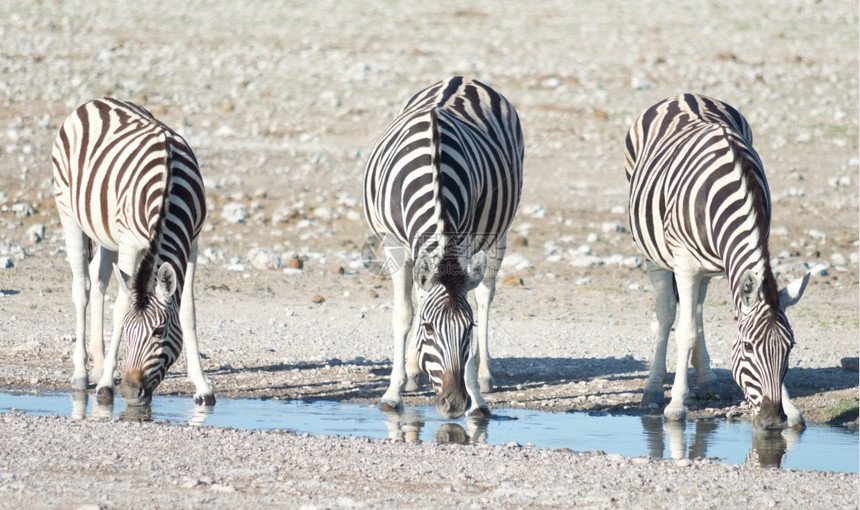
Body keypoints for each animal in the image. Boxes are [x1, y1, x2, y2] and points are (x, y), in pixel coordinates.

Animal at [52, 98, 215, 406]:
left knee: (99, 280)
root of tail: (93, 101)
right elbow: (121, 307)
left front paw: (202, 387)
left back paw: (100, 365)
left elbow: (188, 311)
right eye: (127, 331)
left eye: (159, 331)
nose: (129, 391)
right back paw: (82, 374)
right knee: (82, 287)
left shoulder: (192, 245)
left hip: (107, 235)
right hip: (68, 213)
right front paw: (106, 386)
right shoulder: (129, 242)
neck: (169, 187)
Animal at [362, 76, 524, 418]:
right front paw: (393, 392)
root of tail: (464, 78)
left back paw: (485, 374)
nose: (454, 404)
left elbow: (472, 306)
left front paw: (477, 399)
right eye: (429, 329)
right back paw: (412, 372)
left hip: (498, 233)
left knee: (485, 296)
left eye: (467, 329)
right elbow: (404, 313)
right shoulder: (395, 245)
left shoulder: (465, 240)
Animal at [620, 93, 808, 428]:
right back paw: (654, 387)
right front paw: (676, 405)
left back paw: (705, 377)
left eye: (790, 346)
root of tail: (684, 94)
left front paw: (792, 409)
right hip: (654, 253)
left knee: (697, 310)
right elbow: (684, 332)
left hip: (706, 265)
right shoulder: (683, 262)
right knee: (668, 313)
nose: (773, 419)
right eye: (748, 347)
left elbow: (696, 323)